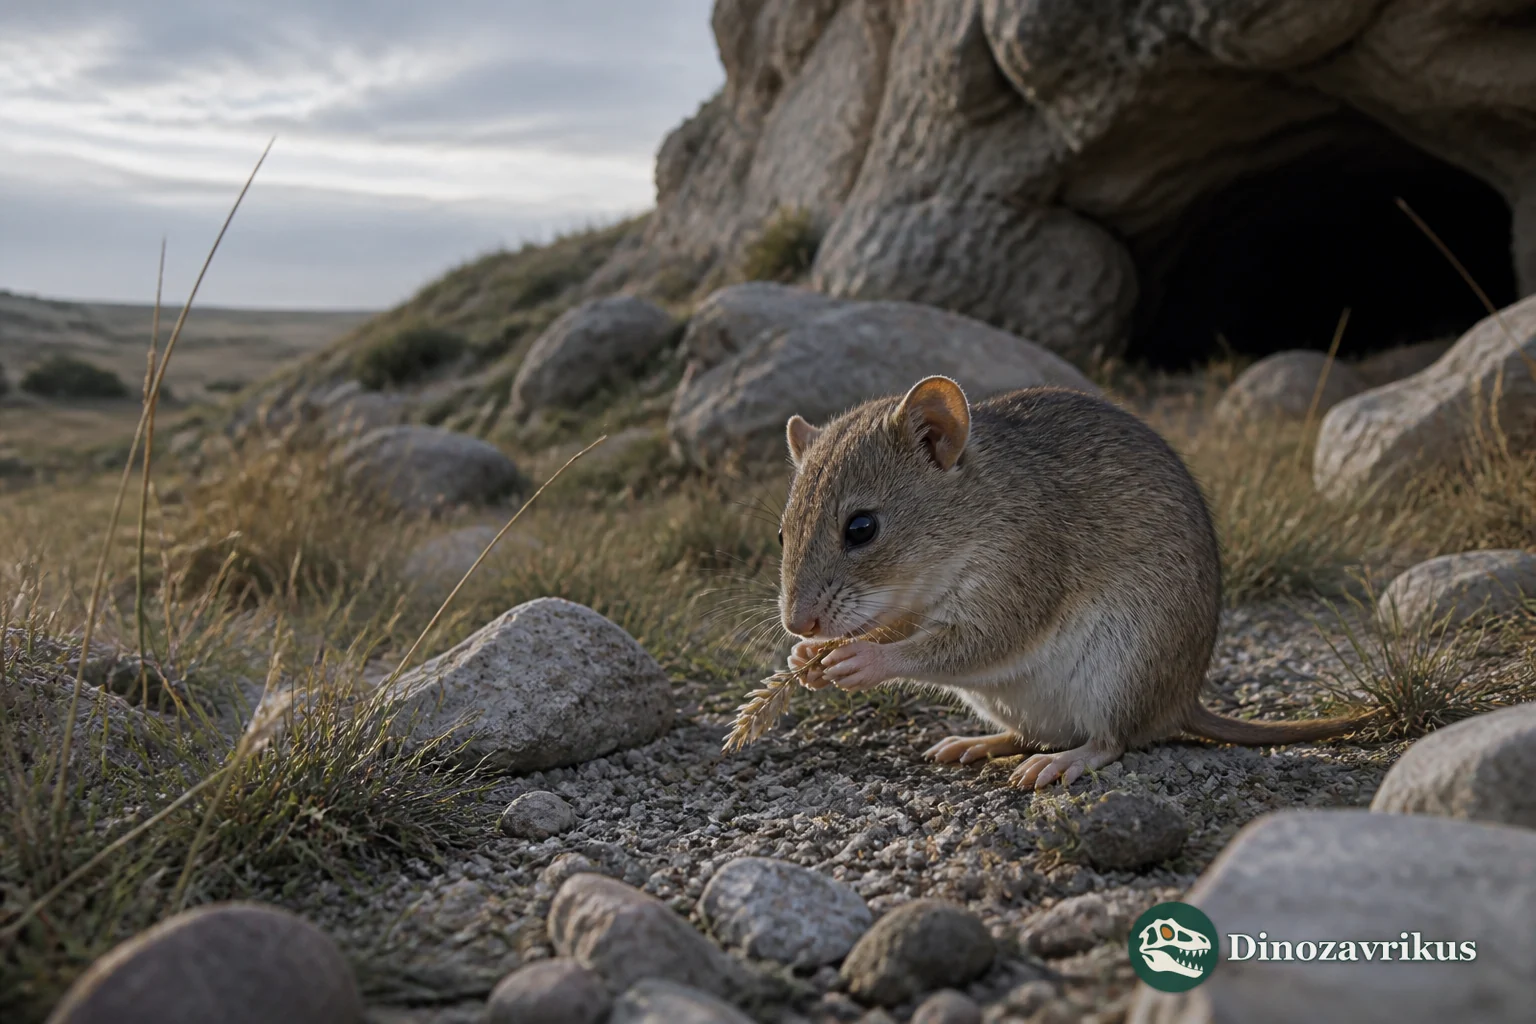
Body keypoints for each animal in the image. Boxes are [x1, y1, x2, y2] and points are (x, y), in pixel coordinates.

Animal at [776, 375, 1369, 789]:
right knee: (1029, 734)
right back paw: (977, 742)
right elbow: (892, 629)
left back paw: (1061, 762)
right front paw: (805, 658)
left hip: (1119, 672)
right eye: (783, 532)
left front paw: (858, 660)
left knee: (1111, 742)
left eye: (862, 528)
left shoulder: (1014, 587)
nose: (797, 625)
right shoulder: (908, 609)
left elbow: (943, 649)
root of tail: (1184, 703)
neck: (976, 508)